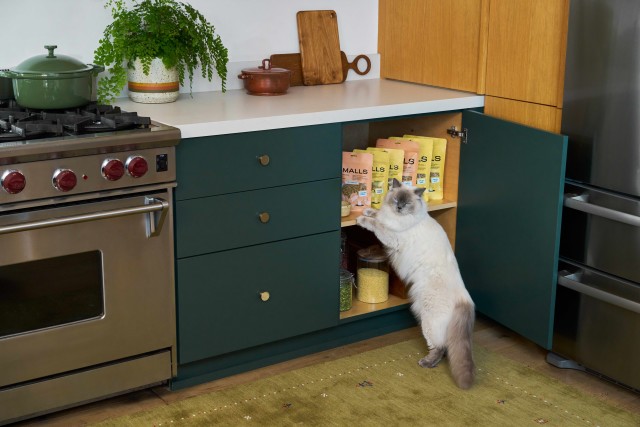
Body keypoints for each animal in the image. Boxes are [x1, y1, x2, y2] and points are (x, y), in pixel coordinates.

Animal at [356, 179, 476, 390]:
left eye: (406, 203)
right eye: (396, 199)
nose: (399, 208)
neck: (399, 217)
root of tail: (465, 299)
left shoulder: (391, 235)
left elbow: (376, 224)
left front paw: (361, 219)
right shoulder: (387, 218)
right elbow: (378, 215)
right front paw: (368, 210)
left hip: (427, 321)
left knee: (440, 348)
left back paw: (425, 363)